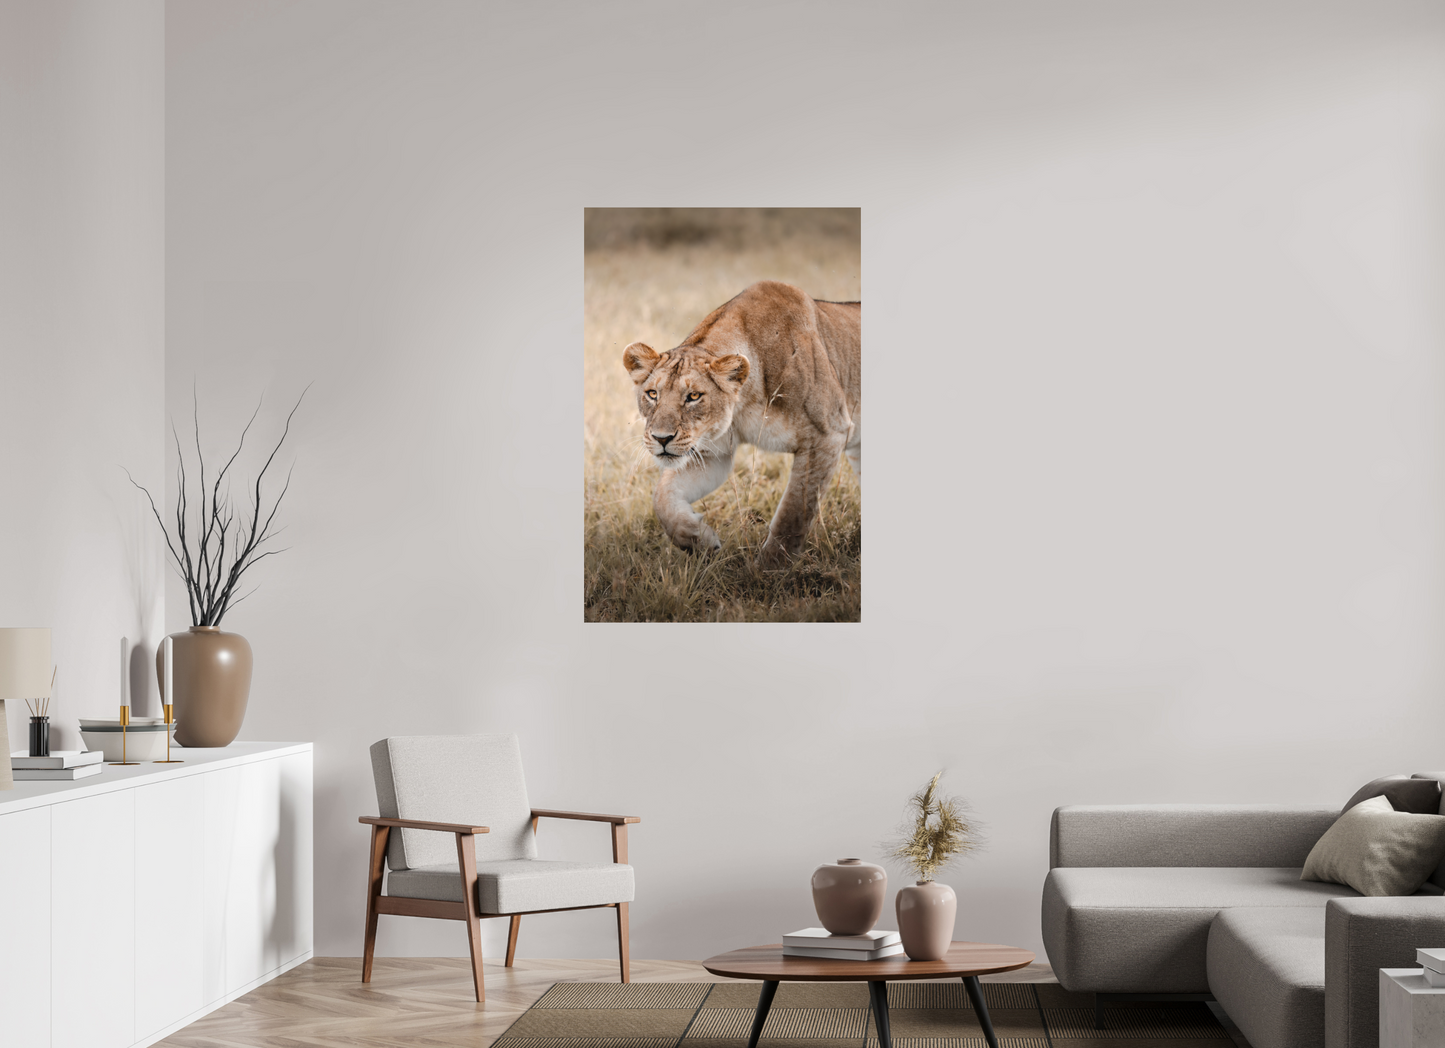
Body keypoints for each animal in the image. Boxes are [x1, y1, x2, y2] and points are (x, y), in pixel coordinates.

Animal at [622, 280, 860, 566]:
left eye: (693, 397)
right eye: (652, 394)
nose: (661, 439)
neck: (744, 404)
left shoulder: (828, 435)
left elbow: (794, 512)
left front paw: (770, 569)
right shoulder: (712, 453)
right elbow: (662, 497)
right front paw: (700, 541)